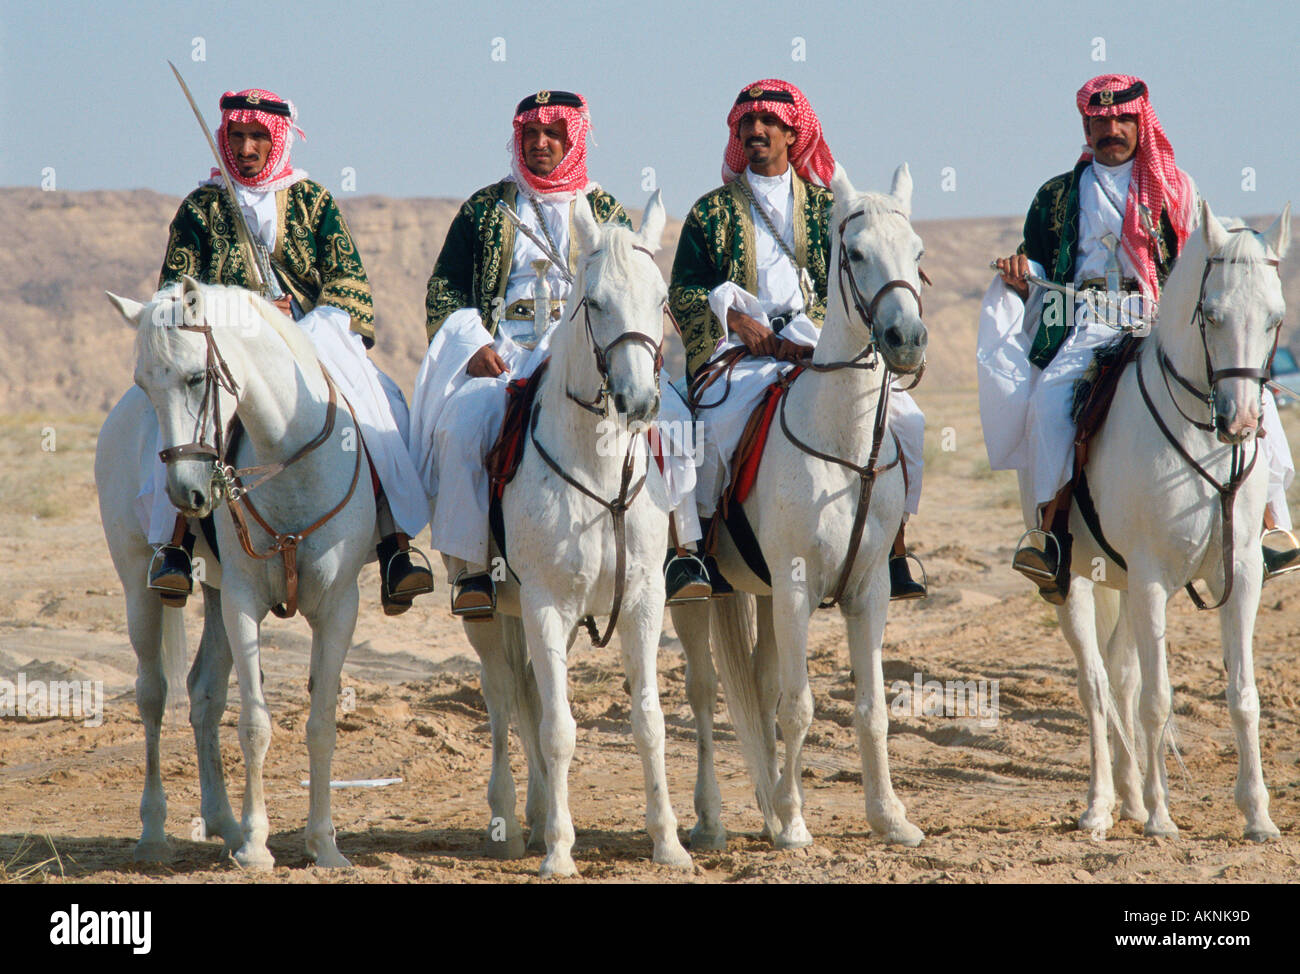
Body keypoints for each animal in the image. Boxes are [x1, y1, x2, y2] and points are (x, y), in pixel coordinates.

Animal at [94, 279, 371, 868]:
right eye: (145, 384)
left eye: (197, 378)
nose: (186, 494)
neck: (289, 458)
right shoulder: (245, 601)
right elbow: (255, 724)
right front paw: (257, 844)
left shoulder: (339, 606)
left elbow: (321, 723)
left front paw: (325, 845)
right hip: (139, 586)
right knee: (153, 694)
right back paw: (155, 830)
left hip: (215, 595)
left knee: (203, 693)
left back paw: (221, 820)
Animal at [447, 189, 691, 873]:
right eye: (597, 301)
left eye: (660, 299)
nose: (638, 401)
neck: (598, 473)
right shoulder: (546, 605)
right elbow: (557, 729)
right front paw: (559, 851)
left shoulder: (641, 603)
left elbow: (649, 722)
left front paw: (668, 841)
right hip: (491, 615)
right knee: (504, 698)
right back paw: (510, 818)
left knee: (526, 696)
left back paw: (533, 814)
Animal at [670, 163, 925, 847]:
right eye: (854, 253)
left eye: (917, 253)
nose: (906, 339)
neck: (844, 445)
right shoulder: (794, 588)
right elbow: (799, 706)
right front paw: (791, 821)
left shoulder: (868, 593)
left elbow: (869, 708)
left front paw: (889, 816)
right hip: (700, 598)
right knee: (705, 692)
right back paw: (713, 819)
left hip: (758, 592)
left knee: (757, 685)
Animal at [1040, 201, 1284, 837]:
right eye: (1212, 315)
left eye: (1275, 319)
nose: (1241, 421)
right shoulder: (1151, 579)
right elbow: (1157, 700)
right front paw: (1160, 816)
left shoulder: (1240, 575)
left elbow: (1242, 695)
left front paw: (1257, 814)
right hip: (1075, 581)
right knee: (1096, 686)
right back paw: (1101, 805)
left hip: (1122, 584)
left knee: (1120, 676)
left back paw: (1126, 797)